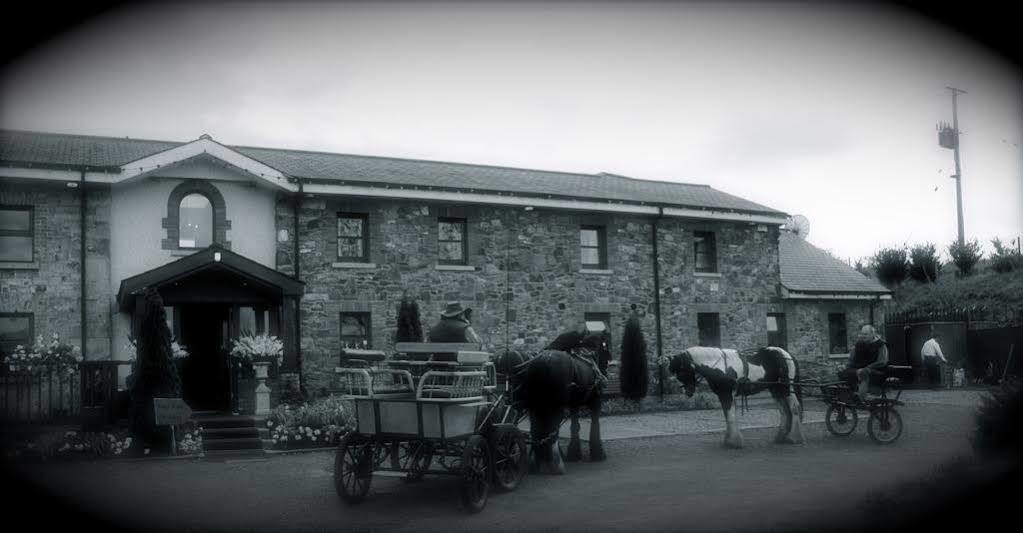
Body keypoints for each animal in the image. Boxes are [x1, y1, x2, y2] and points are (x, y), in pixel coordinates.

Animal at [493, 331, 605, 474]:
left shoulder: (573, 404)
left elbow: (574, 426)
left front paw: (573, 453)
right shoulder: (595, 401)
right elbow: (595, 425)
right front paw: (598, 453)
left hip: (537, 405)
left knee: (536, 429)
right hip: (553, 405)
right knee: (551, 428)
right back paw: (555, 464)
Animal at [666, 347, 802, 446]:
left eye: (682, 370)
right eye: (676, 372)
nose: (688, 391)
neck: (720, 366)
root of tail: (787, 355)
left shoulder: (727, 393)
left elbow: (730, 414)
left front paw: (734, 441)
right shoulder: (722, 394)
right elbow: (727, 414)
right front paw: (729, 440)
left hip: (787, 388)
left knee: (794, 408)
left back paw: (793, 438)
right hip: (776, 389)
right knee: (784, 411)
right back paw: (781, 437)